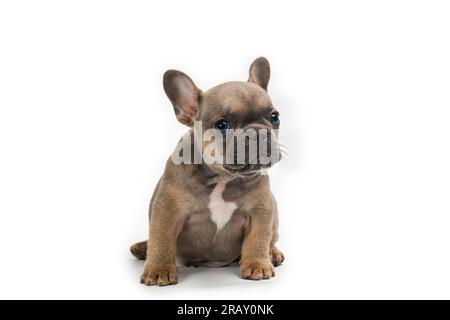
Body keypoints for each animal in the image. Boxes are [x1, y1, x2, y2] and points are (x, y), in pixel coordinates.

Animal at [131, 58, 284, 288]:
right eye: (222, 124)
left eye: (275, 117)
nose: (257, 133)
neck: (223, 177)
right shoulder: (168, 211)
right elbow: (161, 241)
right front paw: (159, 270)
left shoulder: (261, 210)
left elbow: (258, 239)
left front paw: (258, 265)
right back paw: (142, 248)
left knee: (271, 238)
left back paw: (272, 253)